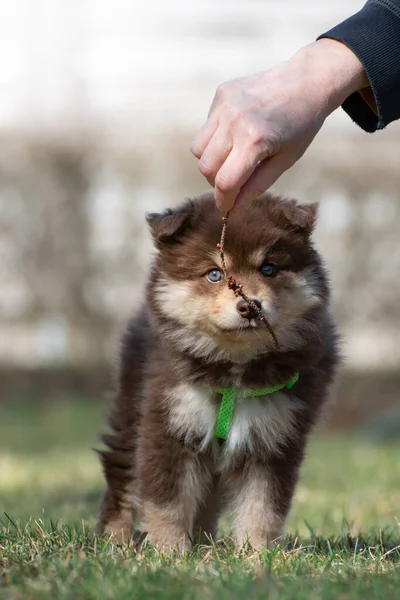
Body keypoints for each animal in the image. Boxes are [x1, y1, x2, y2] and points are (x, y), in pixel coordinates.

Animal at [96, 191, 338, 548]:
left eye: (269, 268)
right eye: (214, 274)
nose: (249, 306)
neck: (235, 367)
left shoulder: (275, 439)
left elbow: (263, 508)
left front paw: (256, 553)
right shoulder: (169, 425)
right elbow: (167, 503)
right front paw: (169, 552)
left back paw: (204, 544)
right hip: (130, 412)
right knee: (122, 477)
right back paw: (114, 541)